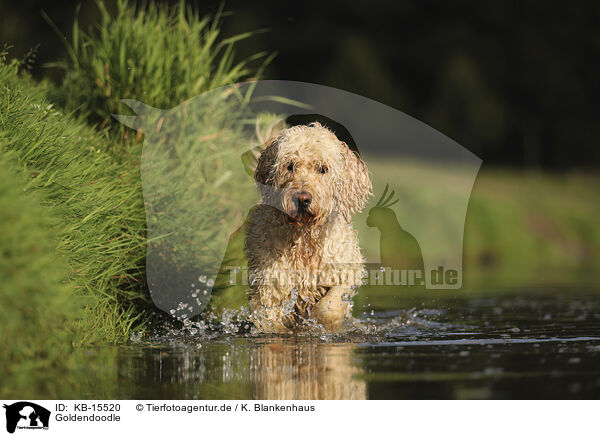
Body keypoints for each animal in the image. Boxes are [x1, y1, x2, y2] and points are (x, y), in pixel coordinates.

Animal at [244, 122, 370, 334]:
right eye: (290, 165)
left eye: (323, 168)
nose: (302, 198)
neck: (305, 237)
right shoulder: (270, 283)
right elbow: (269, 319)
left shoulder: (344, 272)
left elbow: (330, 307)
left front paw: (320, 322)